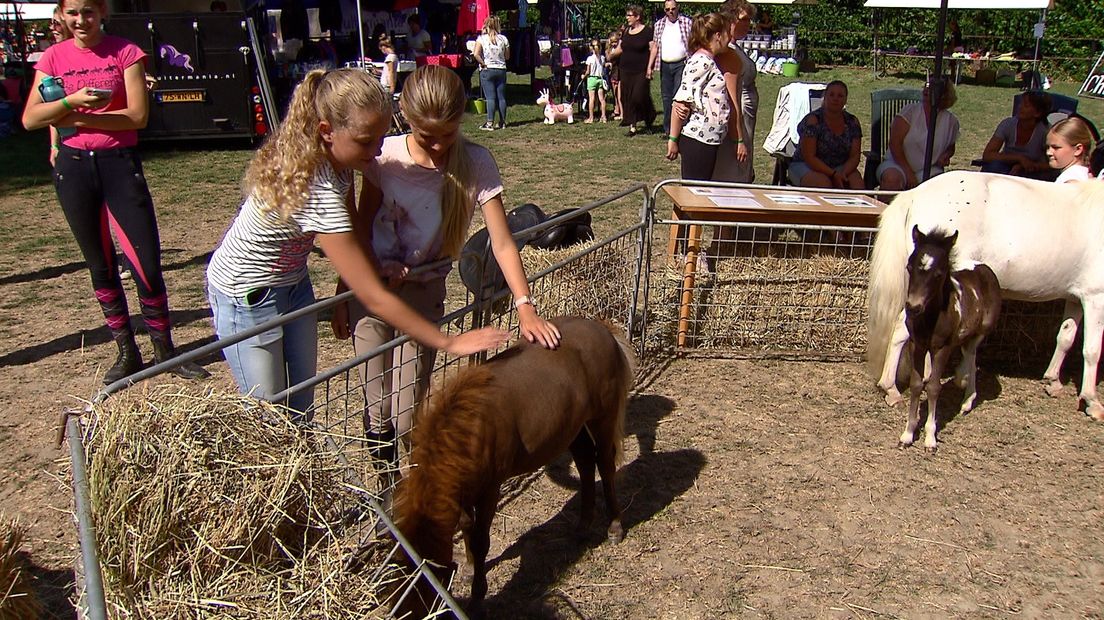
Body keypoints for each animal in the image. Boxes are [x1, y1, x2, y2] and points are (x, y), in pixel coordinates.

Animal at [388, 315, 635, 613]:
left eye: (423, 595)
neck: (468, 429)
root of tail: (603, 329)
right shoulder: (465, 491)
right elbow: (468, 529)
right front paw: (471, 568)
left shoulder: (489, 491)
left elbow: (481, 540)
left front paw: (478, 595)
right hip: (572, 427)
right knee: (586, 461)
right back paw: (582, 526)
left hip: (603, 417)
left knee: (605, 465)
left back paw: (614, 526)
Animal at [865, 170, 1104, 417]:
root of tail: (914, 193)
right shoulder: (1096, 297)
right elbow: (1092, 350)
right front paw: (1092, 401)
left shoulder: (1075, 298)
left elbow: (1065, 337)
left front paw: (1053, 381)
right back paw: (893, 387)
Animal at [900, 227, 1006, 447]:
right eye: (909, 267)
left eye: (939, 274)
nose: (913, 307)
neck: (930, 319)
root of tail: (984, 267)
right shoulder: (917, 344)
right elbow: (916, 384)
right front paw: (908, 433)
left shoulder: (942, 348)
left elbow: (933, 387)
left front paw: (930, 438)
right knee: (970, 356)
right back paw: (964, 390)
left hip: (982, 330)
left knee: (972, 355)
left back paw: (966, 395)